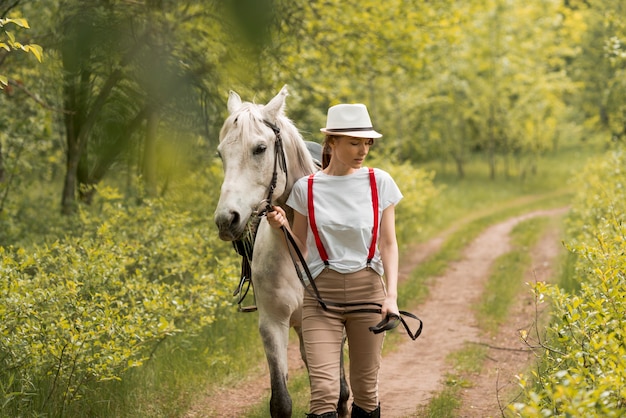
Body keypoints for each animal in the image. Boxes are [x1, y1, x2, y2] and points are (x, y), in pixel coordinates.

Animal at [213, 86, 352, 416]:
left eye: (260, 148)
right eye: (221, 153)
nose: (226, 219)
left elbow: (338, 391)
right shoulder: (273, 325)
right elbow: (281, 400)